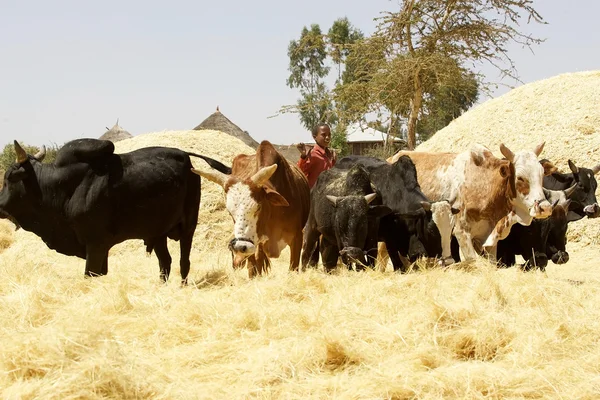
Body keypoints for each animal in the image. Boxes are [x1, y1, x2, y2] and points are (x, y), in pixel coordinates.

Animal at [0, 139, 230, 282]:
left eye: (9, 177)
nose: (0, 205)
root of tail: (185, 156)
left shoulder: (96, 245)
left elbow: (90, 274)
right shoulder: (99, 248)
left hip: (188, 226)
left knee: (184, 262)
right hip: (158, 234)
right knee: (166, 262)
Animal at [192, 141, 310, 278]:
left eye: (258, 207)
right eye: (230, 212)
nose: (240, 247)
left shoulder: (297, 238)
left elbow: (293, 268)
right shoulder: (256, 246)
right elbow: (254, 268)